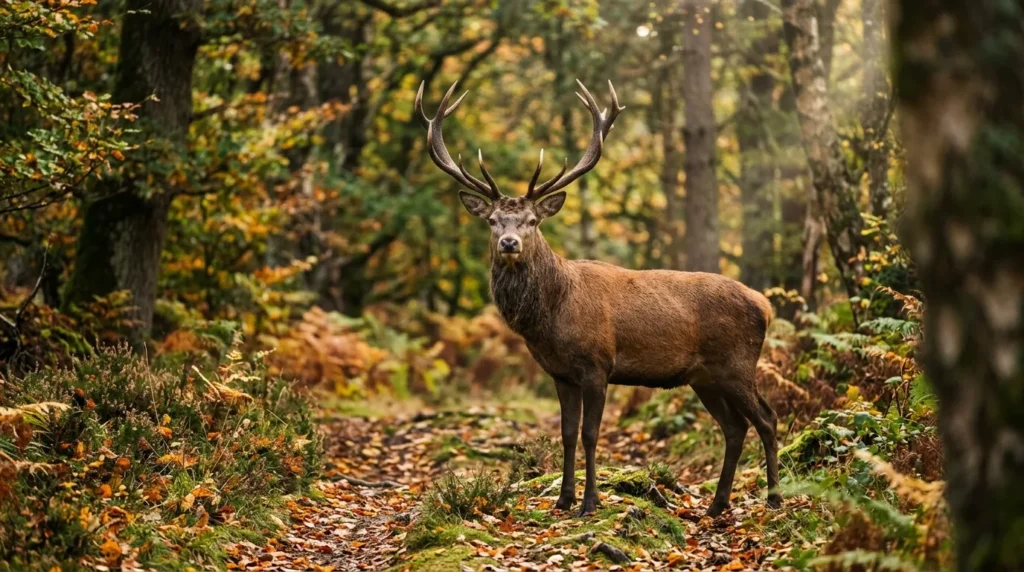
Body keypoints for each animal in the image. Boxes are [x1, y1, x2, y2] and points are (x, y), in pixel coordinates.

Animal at [414, 79, 781, 518]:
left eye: (532, 221)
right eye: (492, 220)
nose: (509, 243)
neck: (551, 317)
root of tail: (765, 305)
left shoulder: (597, 364)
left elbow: (590, 434)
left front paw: (589, 502)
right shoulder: (560, 374)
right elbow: (568, 434)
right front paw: (563, 498)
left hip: (737, 363)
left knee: (768, 418)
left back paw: (774, 497)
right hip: (704, 377)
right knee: (735, 426)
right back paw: (717, 504)